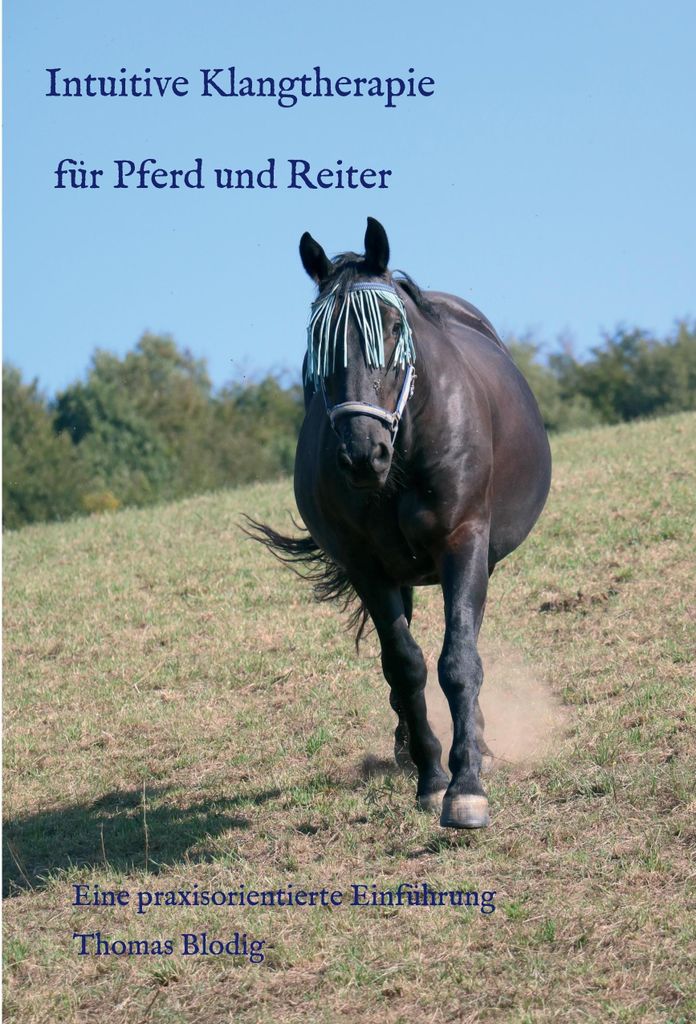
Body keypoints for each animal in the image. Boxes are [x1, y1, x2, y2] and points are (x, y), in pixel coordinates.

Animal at [248, 217, 551, 829]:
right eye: (318, 341)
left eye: (391, 329)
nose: (362, 455)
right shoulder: (368, 568)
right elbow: (405, 665)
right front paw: (432, 776)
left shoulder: (464, 544)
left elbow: (458, 660)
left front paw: (467, 785)